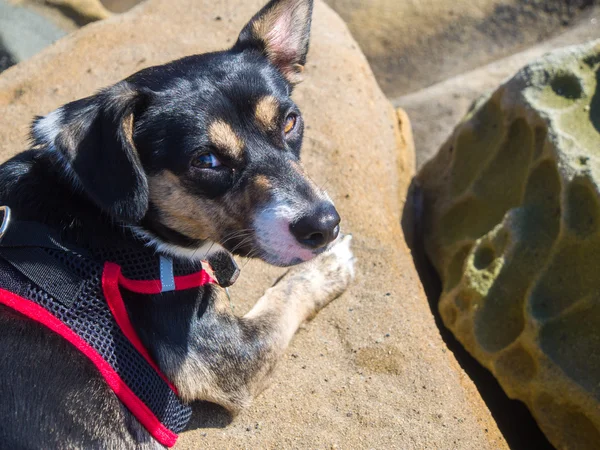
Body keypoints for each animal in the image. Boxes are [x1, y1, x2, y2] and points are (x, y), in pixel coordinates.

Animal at [0, 0, 356, 448]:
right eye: (206, 161)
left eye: (290, 121)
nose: (324, 225)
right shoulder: (237, 357)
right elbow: (287, 293)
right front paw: (330, 265)